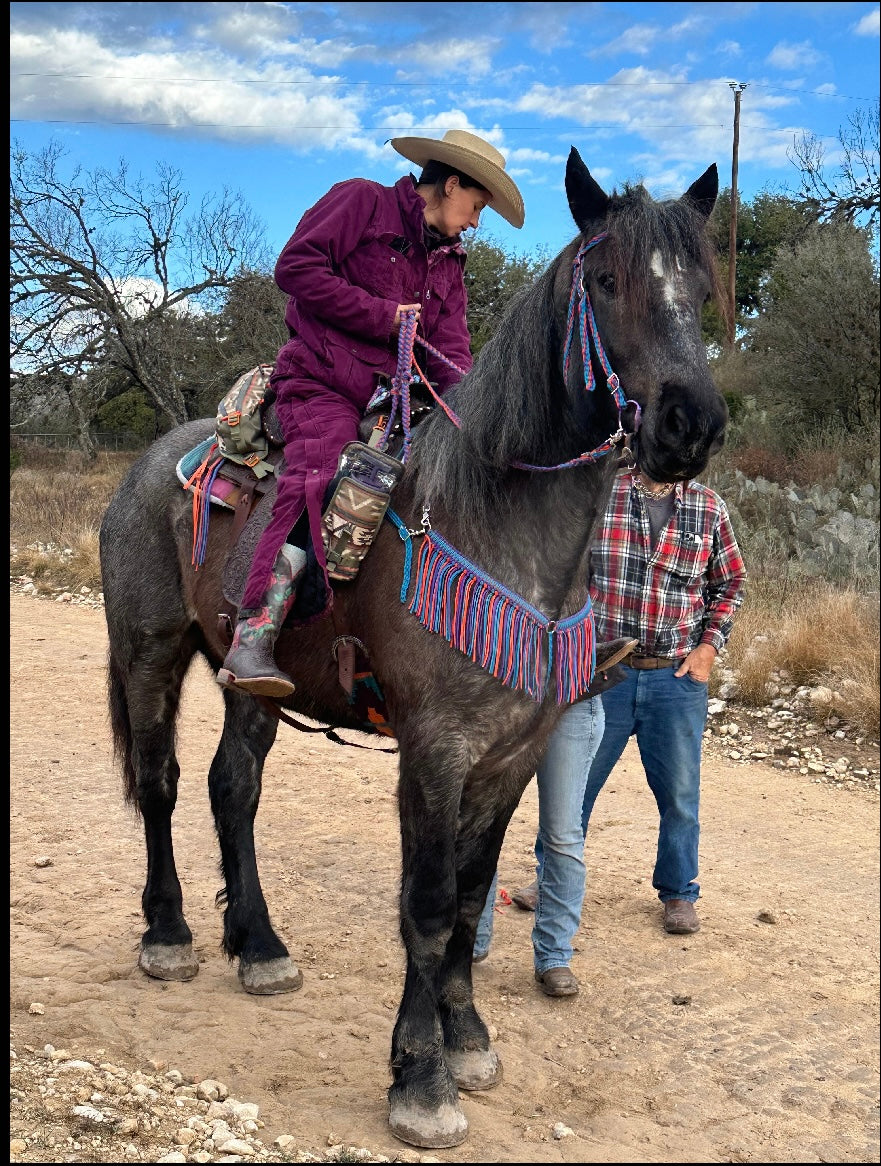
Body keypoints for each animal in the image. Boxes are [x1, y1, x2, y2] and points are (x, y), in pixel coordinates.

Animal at [96, 148, 731, 1147]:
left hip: (248, 677)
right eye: (604, 280)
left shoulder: (514, 754)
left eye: (702, 288)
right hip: (148, 649)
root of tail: (155, 462)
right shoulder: (435, 750)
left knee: (232, 788)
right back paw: (169, 935)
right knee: (158, 784)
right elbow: (427, 908)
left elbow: (471, 895)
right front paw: (420, 1080)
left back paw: (259, 945)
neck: (495, 521)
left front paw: (466, 1040)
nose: (688, 425)